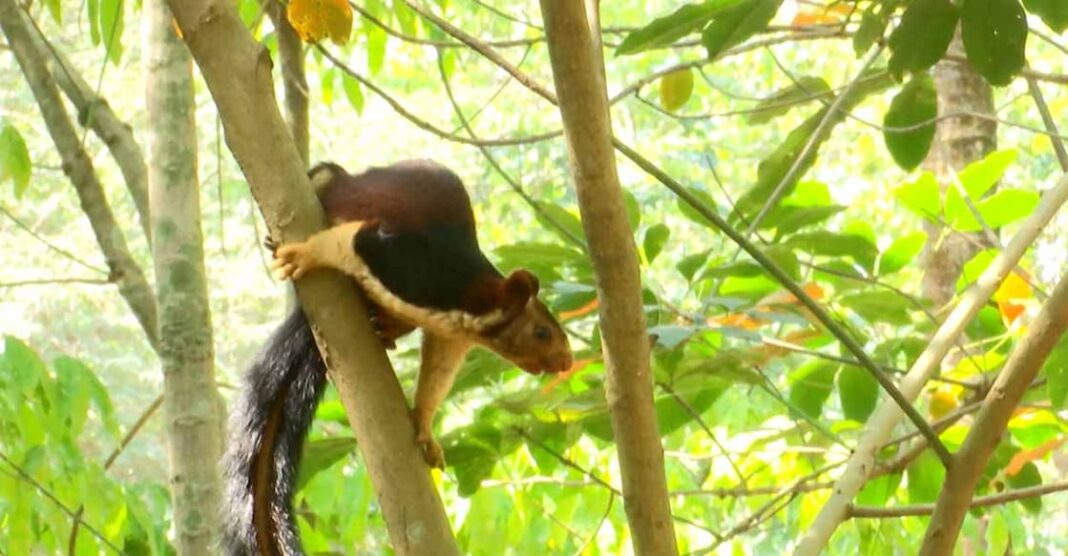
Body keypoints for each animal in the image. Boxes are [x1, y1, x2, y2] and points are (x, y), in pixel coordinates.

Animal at [222, 160, 573, 555]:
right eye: (542, 333)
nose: (566, 362)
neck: (473, 303)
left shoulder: (450, 335)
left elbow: (438, 374)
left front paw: (424, 428)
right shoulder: (404, 264)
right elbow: (350, 241)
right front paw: (304, 254)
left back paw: (385, 328)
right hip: (334, 183)